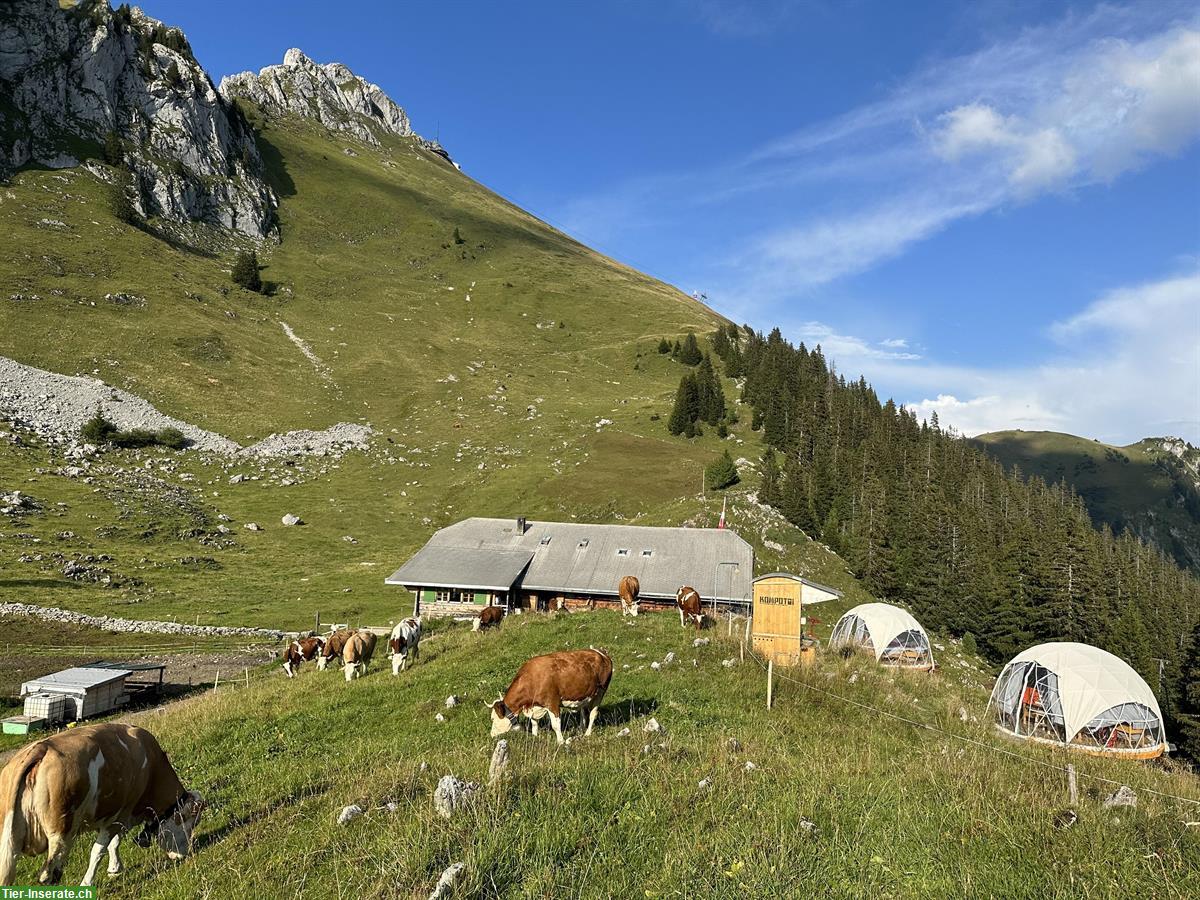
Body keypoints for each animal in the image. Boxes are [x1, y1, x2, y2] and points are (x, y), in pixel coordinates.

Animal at [0, 724, 202, 892]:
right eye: (192, 823)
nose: (185, 854)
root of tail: (42, 747)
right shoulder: (120, 814)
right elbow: (100, 850)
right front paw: (88, 882)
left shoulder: (113, 814)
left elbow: (112, 843)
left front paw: (114, 868)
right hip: (62, 833)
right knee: (48, 874)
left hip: (8, 837)